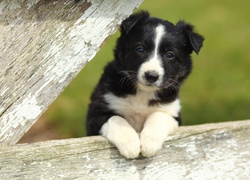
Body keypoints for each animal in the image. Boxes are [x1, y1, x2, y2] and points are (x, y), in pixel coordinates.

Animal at [87, 10, 204, 159]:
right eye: (140, 49)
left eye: (170, 54)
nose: (151, 76)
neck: (143, 93)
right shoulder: (96, 112)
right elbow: (115, 118)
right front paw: (130, 143)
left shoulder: (173, 113)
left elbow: (158, 116)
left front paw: (149, 143)